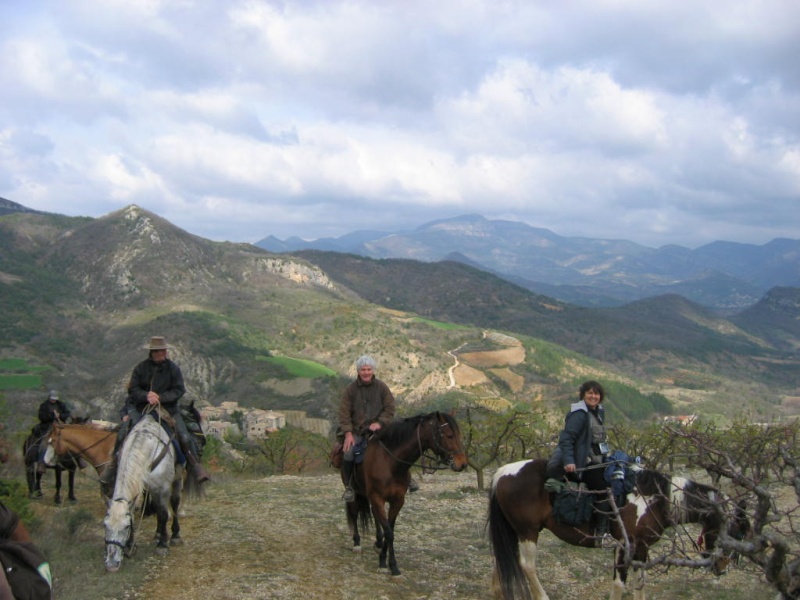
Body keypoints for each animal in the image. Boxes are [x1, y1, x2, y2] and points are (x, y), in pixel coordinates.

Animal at [102, 412, 184, 572]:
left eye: (125, 527)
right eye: (105, 526)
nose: (112, 565)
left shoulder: (162, 488)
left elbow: (164, 514)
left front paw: (163, 545)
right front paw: (130, 545)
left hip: (177, 479)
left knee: (174, 503)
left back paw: (174, 535)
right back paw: (157, 535)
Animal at [340, 410, 468, 576]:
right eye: (449, 435)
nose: (462, 463)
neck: (390, 463)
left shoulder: (397, 500)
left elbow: (390, 529)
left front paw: (385, 560)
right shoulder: (377, 498)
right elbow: (389, 532)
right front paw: (391, 565)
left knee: (375, 516)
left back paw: (377, 542)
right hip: (354, 491)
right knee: (355, 513)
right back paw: (356, 542)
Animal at [488, 458, 752, 596]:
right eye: (737, 532)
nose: (722, 567)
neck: (655, 498)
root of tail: (502, 472)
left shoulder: (642, 548)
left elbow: (640, 582)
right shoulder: (626, 546)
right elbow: (619, 584)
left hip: (513, 531)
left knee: (503, 562)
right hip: (528, 531)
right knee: (526, 566)